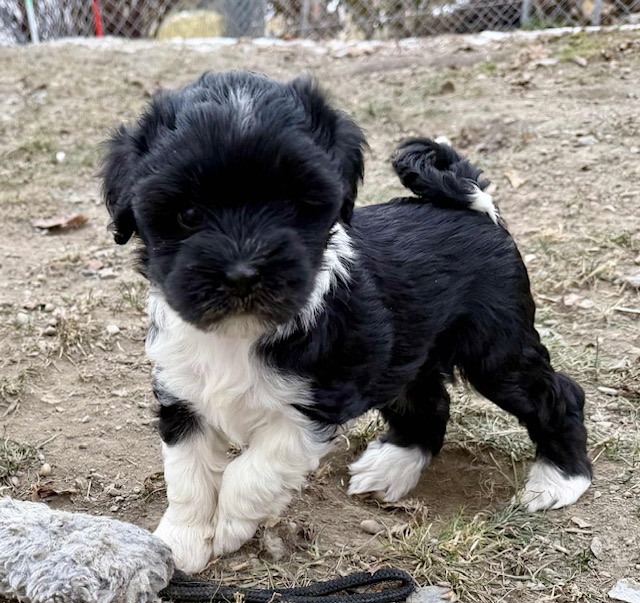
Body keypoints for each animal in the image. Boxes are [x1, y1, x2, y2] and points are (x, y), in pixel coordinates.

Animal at [102, 70, 592, 573]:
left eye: (292, 204)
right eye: (187, 214)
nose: (241, 273)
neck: (242, 333)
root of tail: (473, 206)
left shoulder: (310, 408)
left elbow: (251, 471)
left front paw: (232, 525)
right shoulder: (183, 395)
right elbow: (188, 476)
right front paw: (181, 540)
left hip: (496, 351)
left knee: (557, 395)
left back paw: (560, 479)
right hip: (403, 355)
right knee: (428, 402)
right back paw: (393, 464)